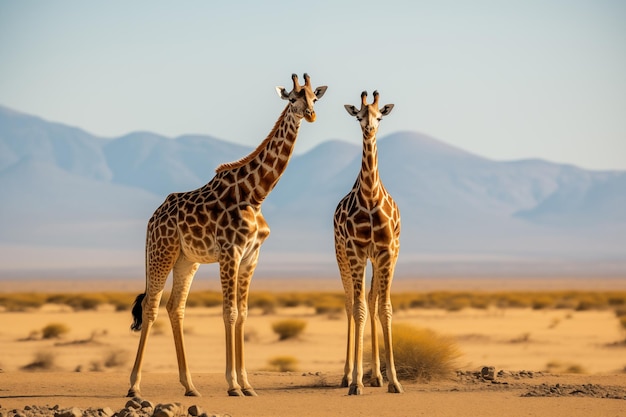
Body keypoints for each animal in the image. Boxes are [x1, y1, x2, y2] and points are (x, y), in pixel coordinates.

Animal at [127, 74, 326, 396]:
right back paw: (134, 386)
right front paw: (233, 385)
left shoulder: (251, 256)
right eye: (293, 98)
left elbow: (243, 313)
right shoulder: (230, 252)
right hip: (161, 252)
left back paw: (190, 385)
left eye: (314, 97)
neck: (256, 195)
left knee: (175, 307)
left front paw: (247, 384)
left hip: (187, 260)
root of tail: (152, 218)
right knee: (150, 306)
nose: (310, 114)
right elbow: (229, 312)